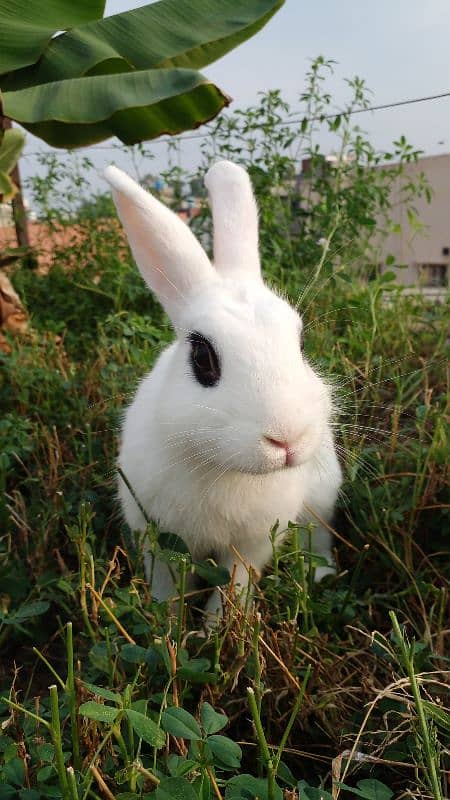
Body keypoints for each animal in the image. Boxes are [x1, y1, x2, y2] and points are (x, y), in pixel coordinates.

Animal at [103, 159, 342, 620]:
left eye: (300, 343)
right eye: (202, 358)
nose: (288, 440)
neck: (225, 468)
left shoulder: (254, 543)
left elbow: (236, 585)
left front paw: (217, 626)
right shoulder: (157, 537)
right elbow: (168, 586)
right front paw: (166, 622)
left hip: (321, 495)